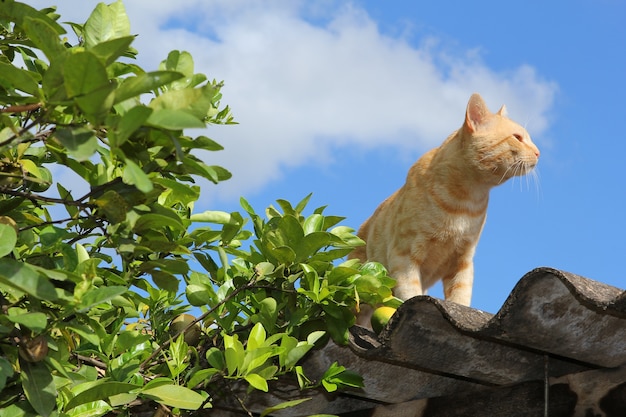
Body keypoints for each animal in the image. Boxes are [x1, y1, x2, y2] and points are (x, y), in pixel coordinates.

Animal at [348, 93, 540, 316]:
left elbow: (461, 296)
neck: (464, 201)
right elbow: (410, 294)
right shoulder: (404, 258)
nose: (538, 152)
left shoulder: (463, 260)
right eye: (518, 137)